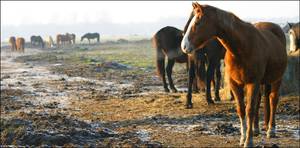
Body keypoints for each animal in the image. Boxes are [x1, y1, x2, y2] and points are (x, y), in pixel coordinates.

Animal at [182, 2, 288, 147]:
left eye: (197, 22)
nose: (184, 46)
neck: (242, 47)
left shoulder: (252, 82)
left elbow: (249, 110)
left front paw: (248, 141)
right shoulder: (235, 83)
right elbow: (241, 109)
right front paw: (243, 138)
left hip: (277, 79)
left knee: (272, 100)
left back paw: (271, 129)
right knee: (261, 100)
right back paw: (256, 129)